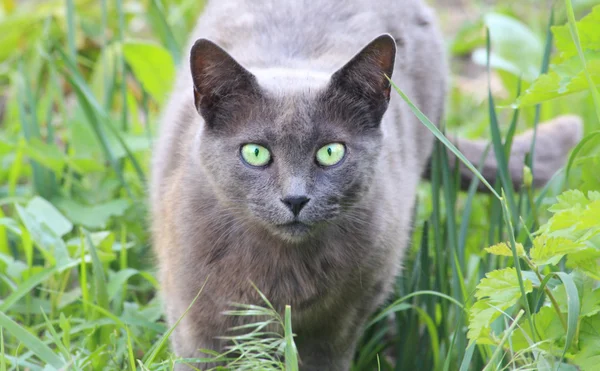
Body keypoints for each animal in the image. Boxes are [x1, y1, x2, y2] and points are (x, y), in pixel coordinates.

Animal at [149, 1, 580, 370]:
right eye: (255, 153)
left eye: (331, 152)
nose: (295, 198)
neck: (284, 274)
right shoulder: (197, 323)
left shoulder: (340, 322)